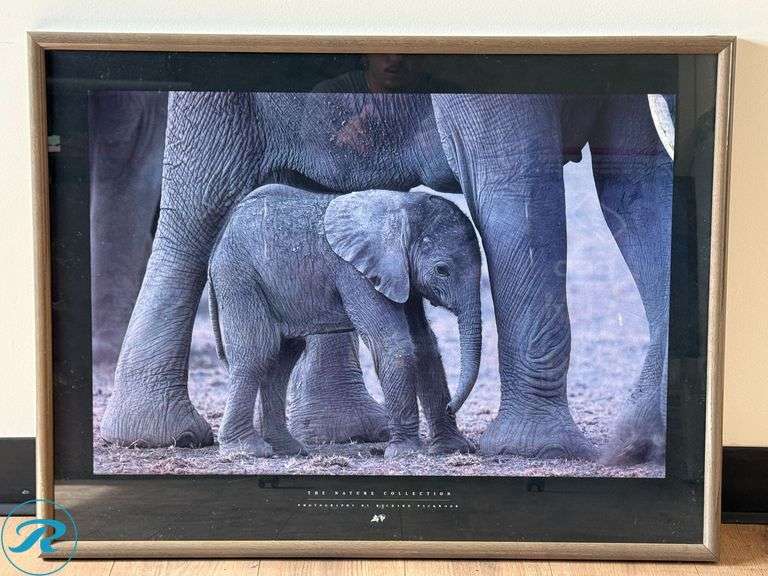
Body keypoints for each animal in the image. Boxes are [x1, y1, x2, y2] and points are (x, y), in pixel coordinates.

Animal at [207, 185, 481, 458]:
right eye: (442, 270)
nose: (451, 406)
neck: (401, 207)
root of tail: (220, 240)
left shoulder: (401, 276)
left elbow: (424, 345)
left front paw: (452, 448)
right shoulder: (356, 274)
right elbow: (393, 344)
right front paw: (405, 452)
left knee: (282, 357)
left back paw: (288, 449)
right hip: (239, 276)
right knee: (258, 352)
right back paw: (248, 449)